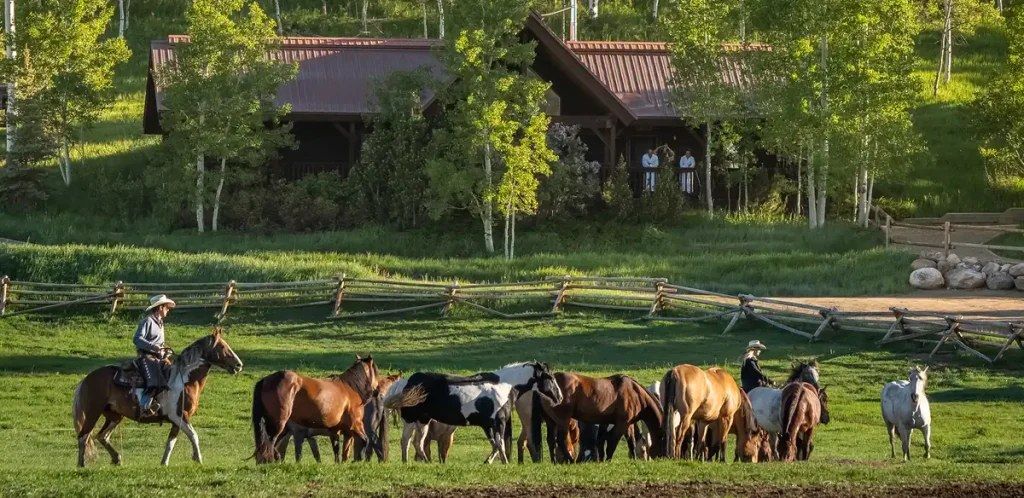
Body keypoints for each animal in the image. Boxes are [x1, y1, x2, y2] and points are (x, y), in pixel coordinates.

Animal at [72, 328, 243, 467]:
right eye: (222, 346)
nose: (238, 365)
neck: (184, 379)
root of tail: (87, 379)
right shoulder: (180, 415)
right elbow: (194, 435)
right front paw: (198, 459)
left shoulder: (176, 420)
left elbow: (171, 442)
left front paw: (164, 463)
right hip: (93, 412)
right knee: (83, 436)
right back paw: (82, 464)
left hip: (114, 416)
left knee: (102, 436)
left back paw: (116, 459)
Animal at [251, 355, 379, 464]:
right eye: (376, 371)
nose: (377, 391)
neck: (350, 388)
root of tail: (266, 380)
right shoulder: (355, 425)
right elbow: (365, 440)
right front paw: (359, 459)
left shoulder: (335, 430)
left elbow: (338, 450)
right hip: (278, 424)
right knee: (270, 443)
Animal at [385, 361, 563, 464]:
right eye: (549, 377)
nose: (559, 397)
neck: (504, 386)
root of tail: (406, 383)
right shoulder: (499, 422)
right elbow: (500, 443)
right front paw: (505, 463)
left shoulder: (488, 425)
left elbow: (495, 444)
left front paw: (488, 462)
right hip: (412, 419)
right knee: (409, 441)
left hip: (422, 420)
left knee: (413, 442)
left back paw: (412, 462)